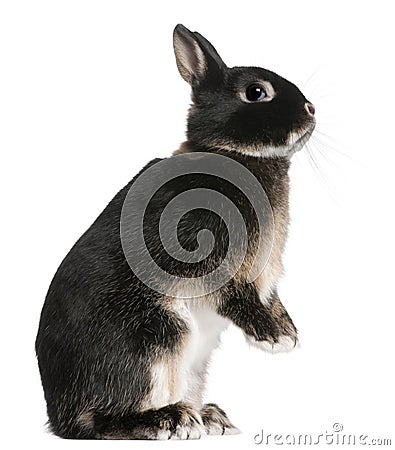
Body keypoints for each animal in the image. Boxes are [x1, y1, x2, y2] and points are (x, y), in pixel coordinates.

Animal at [36, 23, 316, 440]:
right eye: (256, 92)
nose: (311, 109)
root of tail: (57, 414)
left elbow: (270, 297)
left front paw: (287, 329)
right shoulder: (205, 253)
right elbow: (233, 294)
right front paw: (274, 338)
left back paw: (210, 416)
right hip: (157, 335)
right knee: (97, 421)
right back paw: (171, 419)